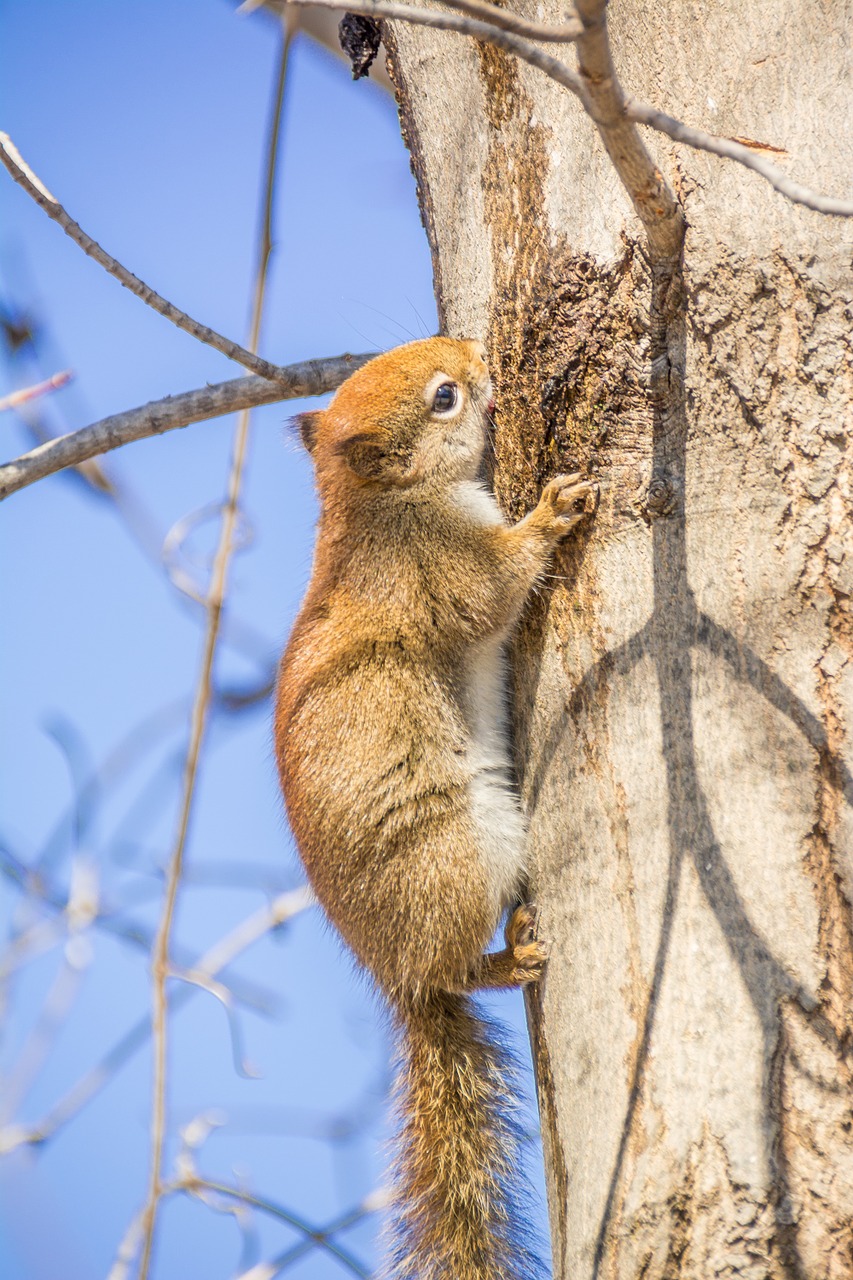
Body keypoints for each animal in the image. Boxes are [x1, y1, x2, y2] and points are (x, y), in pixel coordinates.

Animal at [272, 335, 591, 1274]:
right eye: (444, 397)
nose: (477, 353)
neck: (380, 505)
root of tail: (398, 978)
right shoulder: (436, 565)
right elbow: (494, 587)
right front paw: (551, 514)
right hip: (459, 856)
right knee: (456, 966)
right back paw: (510, 959)